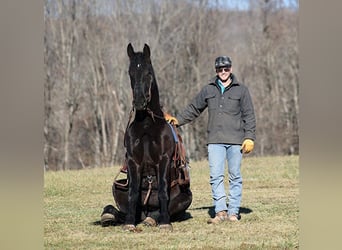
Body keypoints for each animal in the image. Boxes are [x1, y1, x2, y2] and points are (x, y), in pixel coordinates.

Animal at [101, 43, 192, 232]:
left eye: (148, 72)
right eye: (130, 73)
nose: (139, 102)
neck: (147, 125)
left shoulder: (163, 159)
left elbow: (163, 190)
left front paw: (165, 223)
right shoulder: (133, 161)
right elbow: (133, 192)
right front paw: (129, 223)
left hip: (186, 197)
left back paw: (154, 219)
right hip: (117, 189)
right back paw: (110, 215)